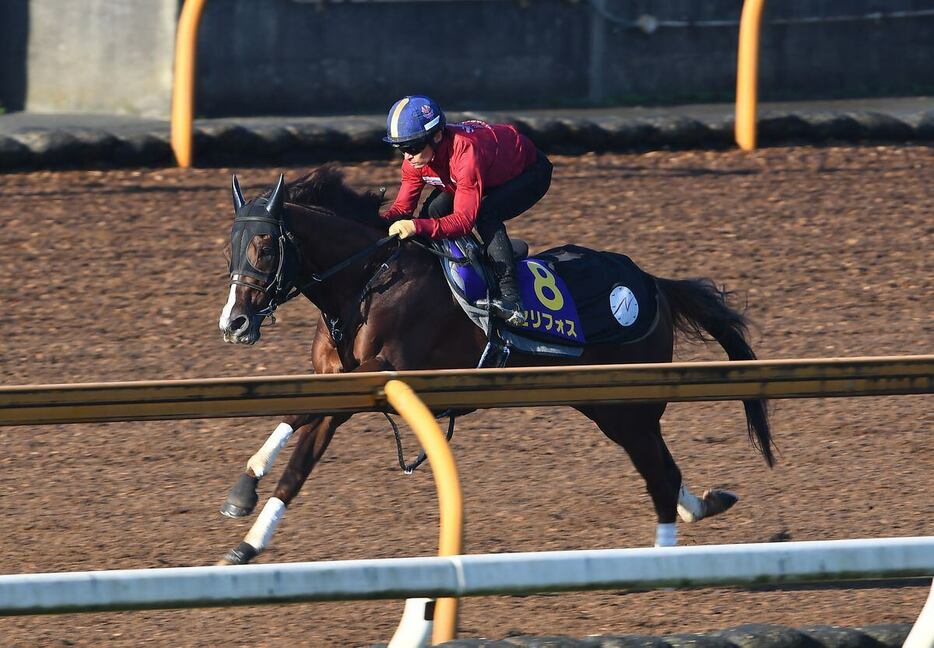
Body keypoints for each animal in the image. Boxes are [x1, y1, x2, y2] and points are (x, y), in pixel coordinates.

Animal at [218, 168, 776, 568]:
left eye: (265, 248)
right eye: (230, 248)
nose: (234, 321)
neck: (368, 280)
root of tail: (653, 283)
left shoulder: (378, 375)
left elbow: (299, 430)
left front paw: (245, 499)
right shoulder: (337, 384)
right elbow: (297, 449)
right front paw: (247, 524)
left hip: (627, 402)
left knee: (659, 471)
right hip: (606, 405)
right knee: (662, 466)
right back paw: (700, 505)